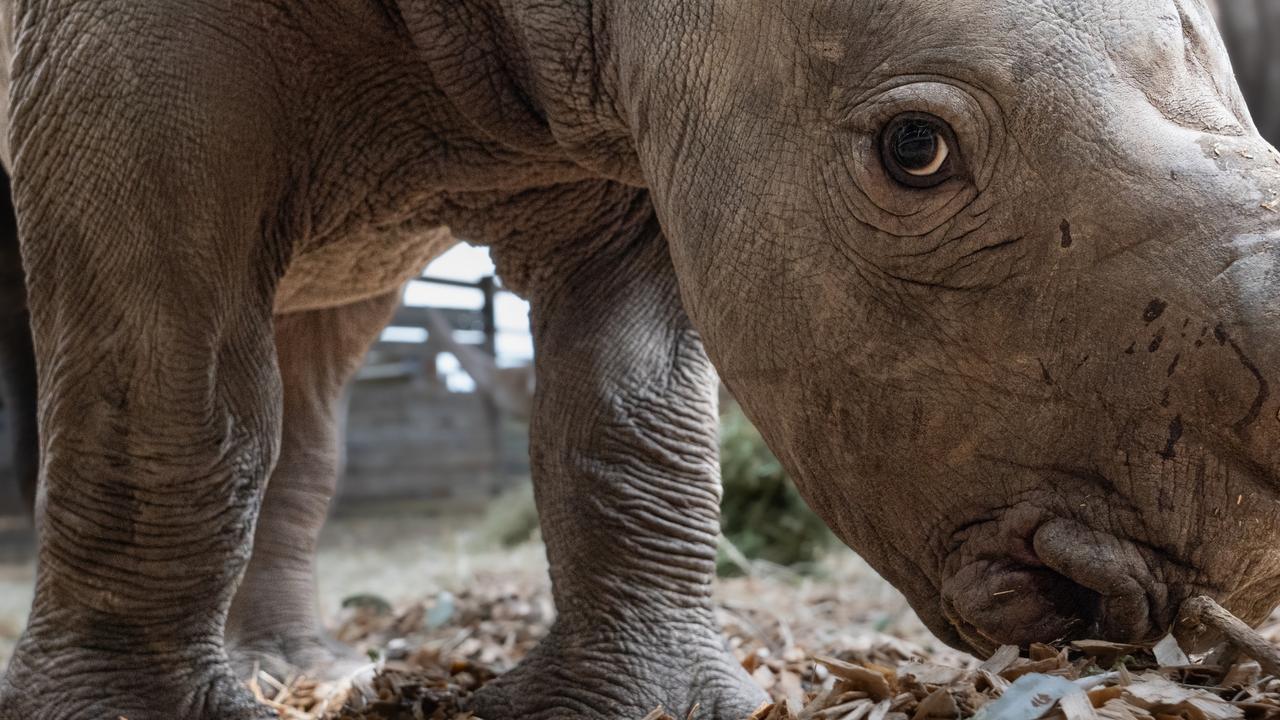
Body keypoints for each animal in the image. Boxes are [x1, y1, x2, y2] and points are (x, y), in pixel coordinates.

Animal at [2, 1, 1280, 717]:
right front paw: (122, 717)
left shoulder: (640, 121)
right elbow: (159, 375)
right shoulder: (107, 67)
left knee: (317, 339)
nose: (1241, 575)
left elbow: (628, 411)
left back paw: (291, 659)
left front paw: (643, 705)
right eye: (912, 149)